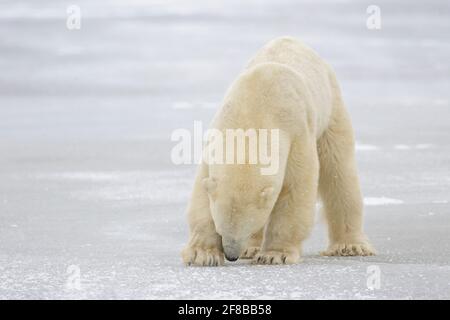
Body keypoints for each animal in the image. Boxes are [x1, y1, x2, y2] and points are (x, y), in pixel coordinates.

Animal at [181, 36, 374, 266]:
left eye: (249, 228)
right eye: (220, 230)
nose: (231, 255)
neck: (252, 109)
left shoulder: (296, 133)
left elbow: (296, 188)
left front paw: (275, 255)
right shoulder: (216, 139)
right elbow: (201, 195)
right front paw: (203, 254)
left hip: (331, 109)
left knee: (338, 171)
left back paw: (350, 245)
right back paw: (252, 249)